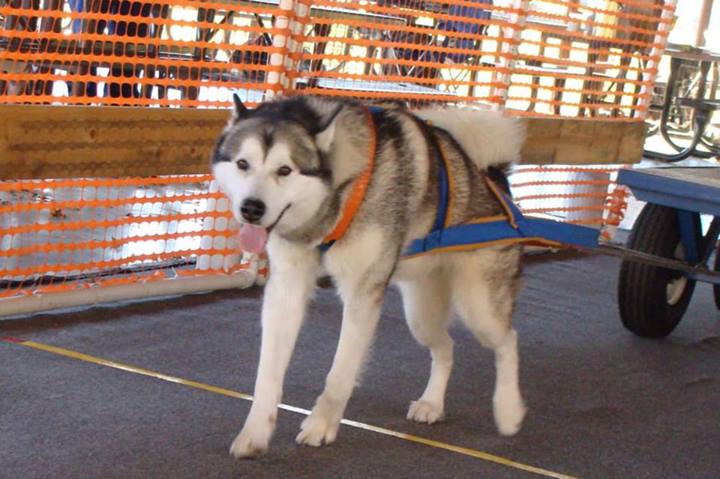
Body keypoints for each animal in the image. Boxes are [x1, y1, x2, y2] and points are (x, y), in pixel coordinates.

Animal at [211, 94, 524, 458]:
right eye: (242, 164)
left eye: (285, 170)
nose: (252, 208)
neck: (338, 192)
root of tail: (493, 179)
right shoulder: (286, 288)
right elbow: (268, 373)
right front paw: (255, 432)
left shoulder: (362, 294)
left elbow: (341, 371)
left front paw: (322, 425)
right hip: (421, 315)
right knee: (446, 347)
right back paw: (432, 403)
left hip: (479, 307)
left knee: (507, 340)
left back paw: (508, 410)